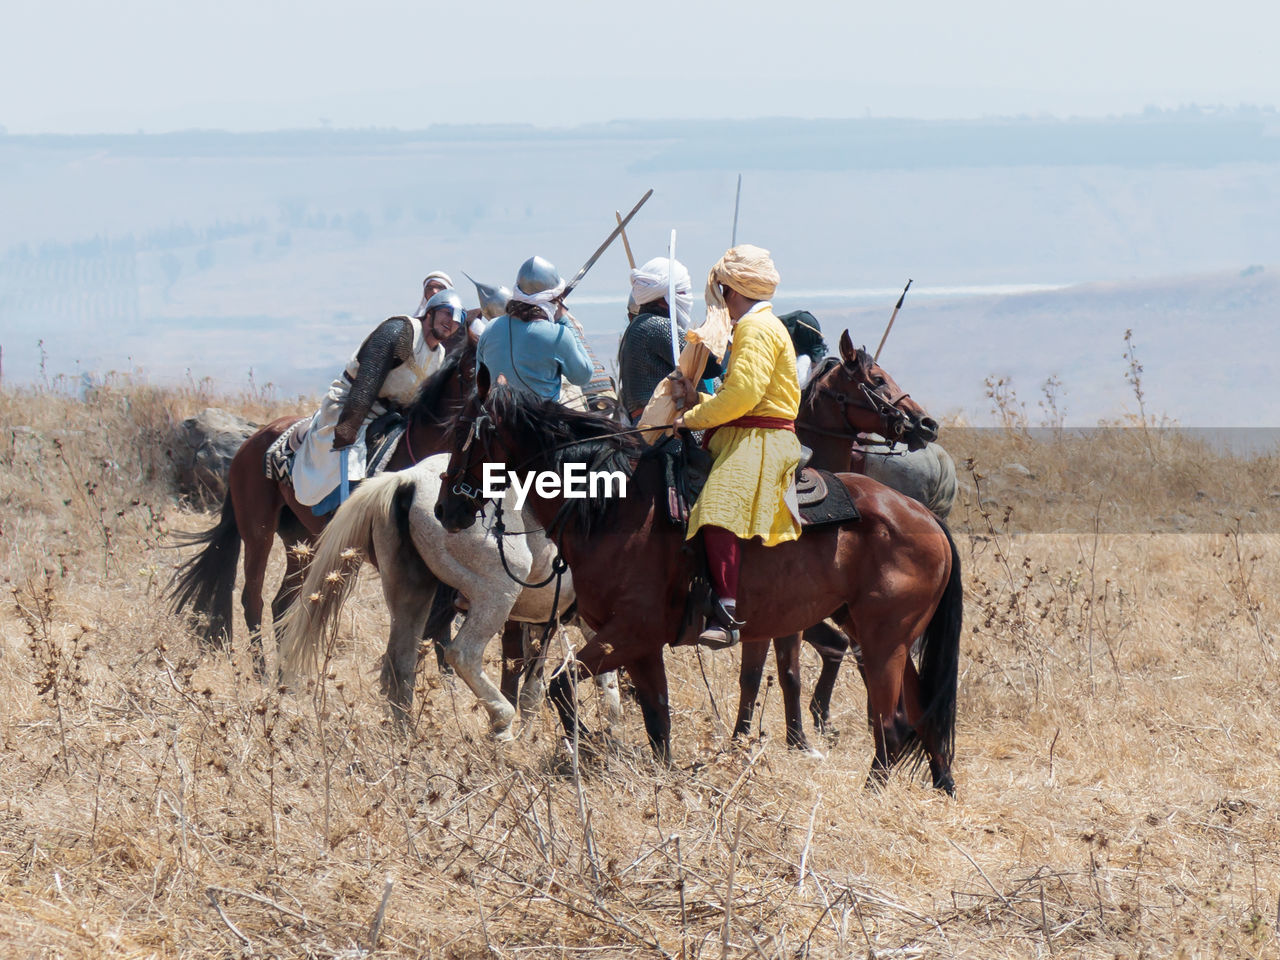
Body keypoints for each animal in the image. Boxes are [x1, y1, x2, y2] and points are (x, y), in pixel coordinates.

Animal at [165, 343, 476, 670]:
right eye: (472, 370)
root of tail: (250, 442)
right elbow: (432, 631)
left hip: (303, 541)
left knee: (282, 603)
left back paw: (283, 670)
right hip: (258, 533)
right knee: (253, 599)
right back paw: (261, 672)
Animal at [437, 371, 962, 793]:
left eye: (464, 433)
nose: (445, 508)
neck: (613, 504)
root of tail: (926, 518)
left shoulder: (629, 632)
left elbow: (562, 686)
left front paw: (587, 746)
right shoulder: (639, 643)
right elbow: (657, 719)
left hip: (883, 643)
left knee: (891, 726)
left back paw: (873, 795)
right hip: (885, 639)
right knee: (922, 717)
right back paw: (943, 788)